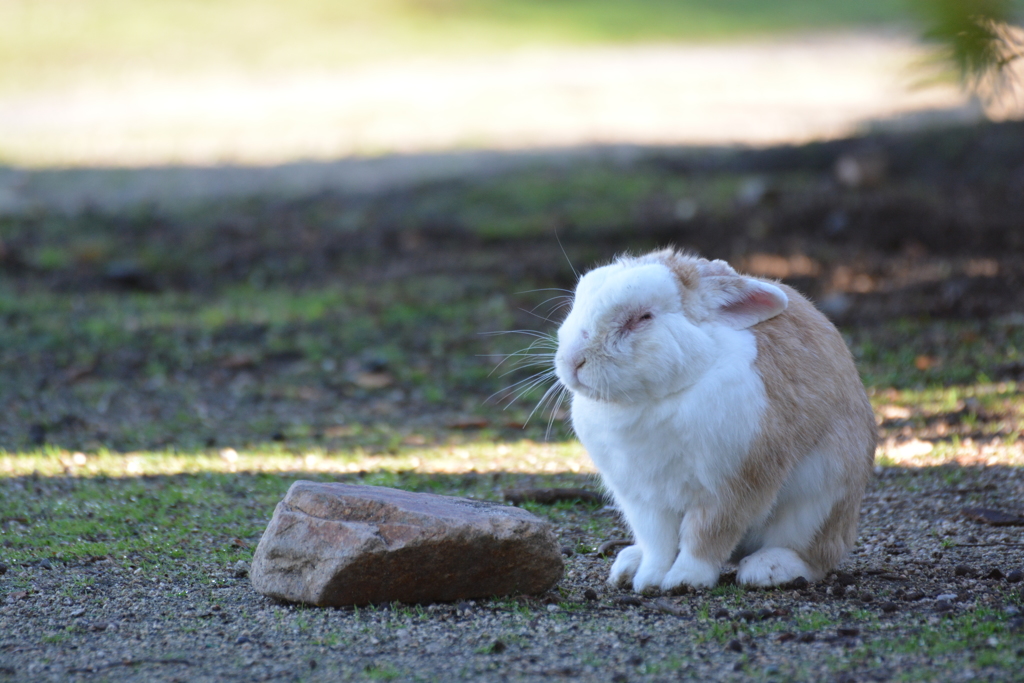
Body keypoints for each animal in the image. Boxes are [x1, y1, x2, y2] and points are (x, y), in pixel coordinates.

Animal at [557, 248, 876, 589]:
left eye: (643, 318)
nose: (573, 360)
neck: (652, 399)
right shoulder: (642, 498)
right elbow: (658, 543)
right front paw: (649, 580)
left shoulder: (732, 486)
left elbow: (706, 537)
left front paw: (683, 580)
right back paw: (629, 564)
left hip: (820, 500)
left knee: (816, 556)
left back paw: (768, 568)